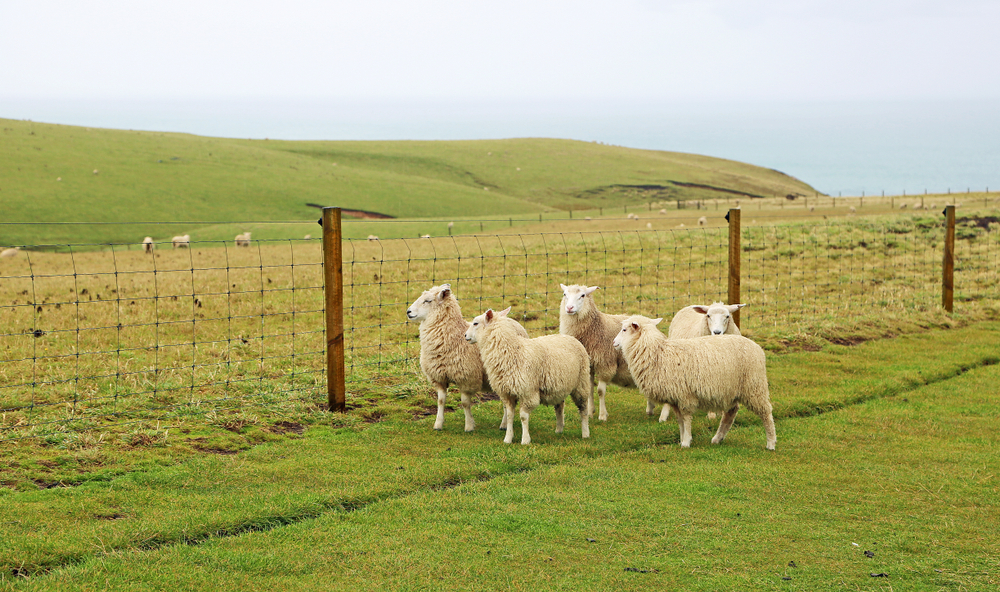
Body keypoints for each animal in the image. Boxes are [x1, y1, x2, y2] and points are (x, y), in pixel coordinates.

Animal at [408, 284, 532, 430]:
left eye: (427, 301)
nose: (408, 312)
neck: (452, 337)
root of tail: (505, 318)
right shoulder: (439, 377)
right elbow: (440, 401)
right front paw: (438, 424)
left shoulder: (467, 378)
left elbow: (465, 403)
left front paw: (469, 426)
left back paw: (504, 424)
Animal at [464, 306, 588, 444]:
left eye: (475, 323)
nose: (465, 336)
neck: (512, 352)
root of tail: (570, 337)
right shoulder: (507, 393)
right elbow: (510, 416)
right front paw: (508, 438)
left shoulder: (528, 392)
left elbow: (523, 417)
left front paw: (525, 440)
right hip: (559, 386)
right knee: (560, 406)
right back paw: (559, 429)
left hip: (582, 383)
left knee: (583, 409)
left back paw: (585, 433)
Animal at [560, 282, 636, 420]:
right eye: (564, 294)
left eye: (583, 295)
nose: (569, 308)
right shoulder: (589, 365)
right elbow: (590, 389)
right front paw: (590, 412)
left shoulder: (605, 364)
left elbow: (600, 391)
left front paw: (602, 415)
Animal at [612, 316, 776, 450]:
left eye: (624, 329)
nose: (613, 342)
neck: (657, 352)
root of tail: (758, 348)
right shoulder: (675, 398)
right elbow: (680, 421)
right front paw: (682, 439)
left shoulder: (684, 396)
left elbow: (686, 419)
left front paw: (686, 442)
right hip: (732, 389)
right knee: (731, 412)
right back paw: (718, 438)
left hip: (754, 386)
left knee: (766, 413)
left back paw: (771, 443)